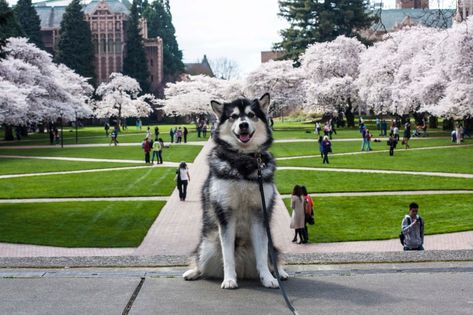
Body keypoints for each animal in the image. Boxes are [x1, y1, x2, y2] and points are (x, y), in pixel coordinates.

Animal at [183, 93, 288, 288]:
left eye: (251, 115)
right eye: (233, 116)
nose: (243, 125)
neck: (244, 160)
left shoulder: (259, 213)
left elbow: (263, 255)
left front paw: (268, 278)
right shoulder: (225, 213)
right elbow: (227, 255)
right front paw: (229, 279)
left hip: (270, 240)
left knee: (273, 258)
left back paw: (280, 273)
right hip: (207, 246)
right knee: (201, 262)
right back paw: (194, 272)